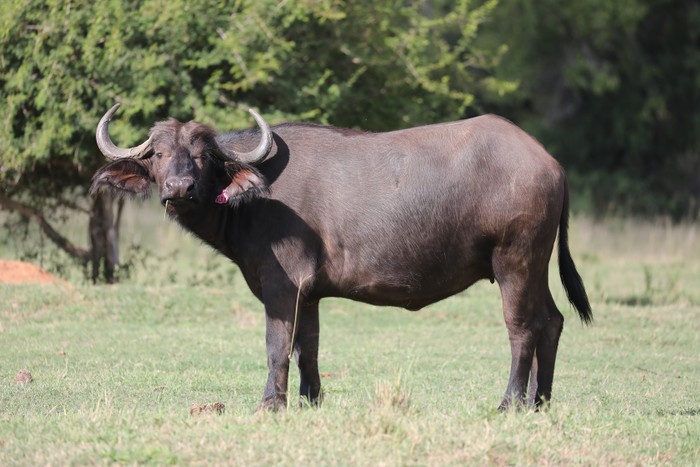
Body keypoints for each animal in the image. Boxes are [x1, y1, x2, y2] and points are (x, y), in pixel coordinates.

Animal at [90, 103, 591, 411]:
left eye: (202, 155)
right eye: (158, 154)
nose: (179, 189)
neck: (255, 199)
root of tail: (549, 163)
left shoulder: (281, 285)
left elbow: (277, 345)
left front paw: (271, 403)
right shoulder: (309, 294)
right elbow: (307, 347)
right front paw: (311, 400)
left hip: (514, 261)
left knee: (522, 329)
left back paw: (510, 402)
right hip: (535, 266)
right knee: (551, 321)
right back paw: (540, 401)